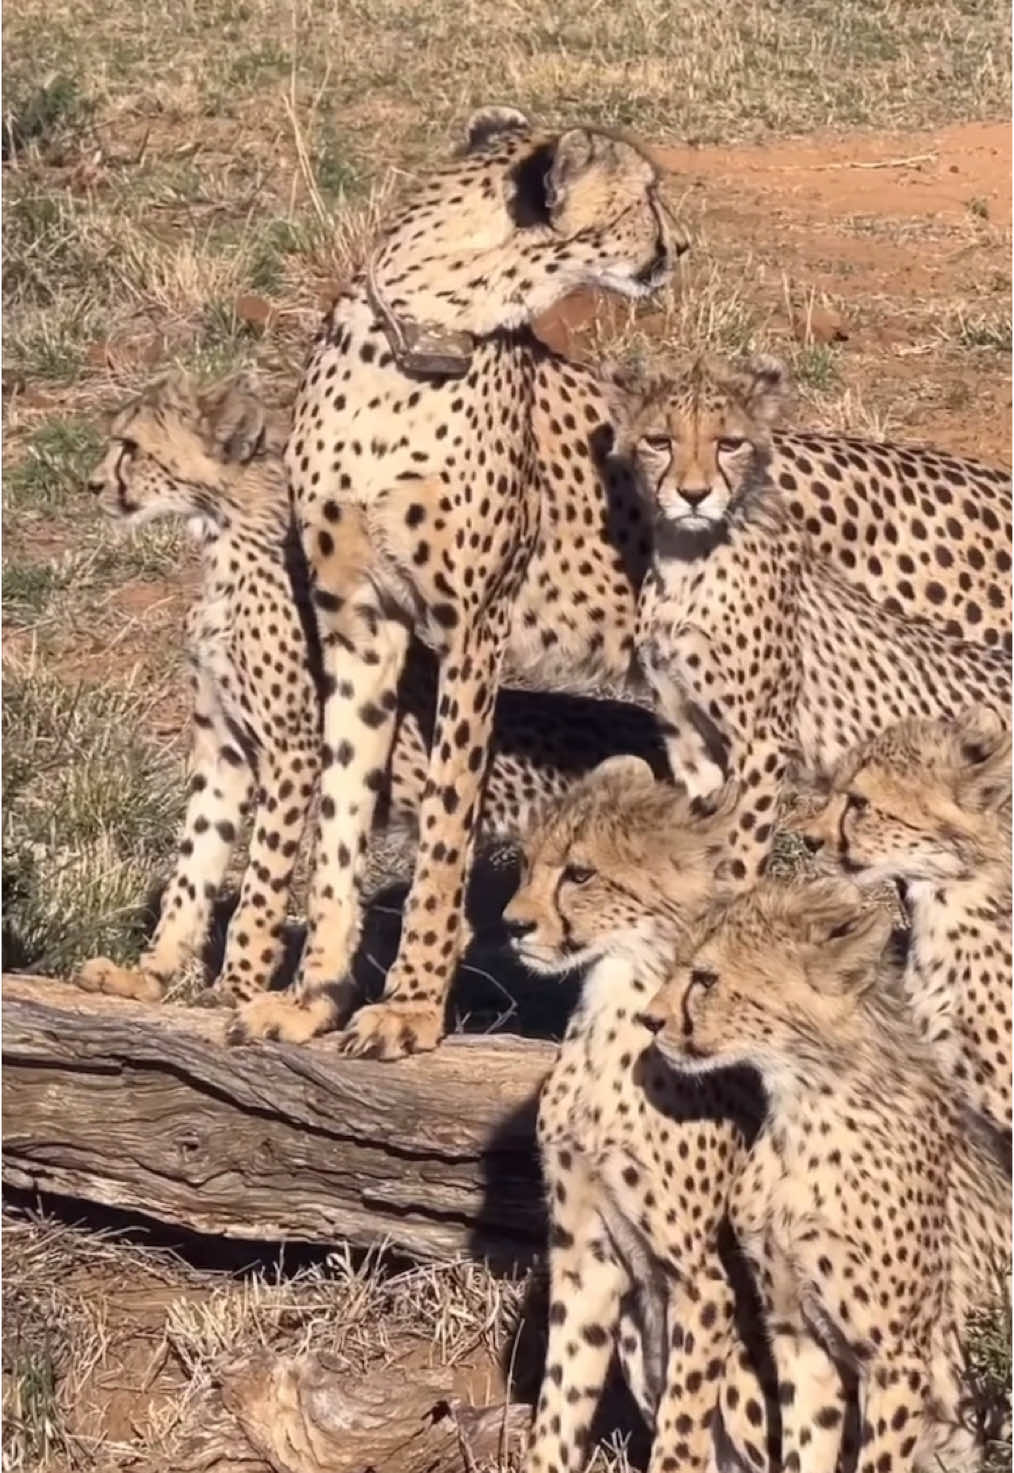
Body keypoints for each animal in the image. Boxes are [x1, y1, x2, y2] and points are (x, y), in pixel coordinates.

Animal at [75, 368, 669, 1013]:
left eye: (130, 447)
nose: (93, 483)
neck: (226, 542)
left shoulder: (292, 751)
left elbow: (262, 881)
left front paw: (236, 988)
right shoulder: (223, 749)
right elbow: (192, 872)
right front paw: (147, 976)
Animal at [621, 353, 1008, 883]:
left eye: (729, 443)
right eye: (660, 442)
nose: (693, 495)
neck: (689, 558)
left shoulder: (762, 742)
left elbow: (743, 845)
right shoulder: (688, 739)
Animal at [645, 872, 1008, 1473]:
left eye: (705, 978)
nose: (650, 1021)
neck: (803, 1107)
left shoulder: (896, 1359)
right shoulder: (799, 1338)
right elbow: (805, 1447)